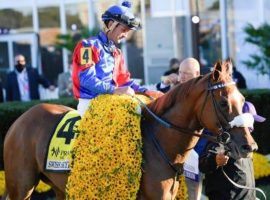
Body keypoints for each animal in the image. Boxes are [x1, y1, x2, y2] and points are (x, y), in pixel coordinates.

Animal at [3, 61, 258, 199]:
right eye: (223, 102)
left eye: (242, 99)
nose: (249, 145)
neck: (159, 143)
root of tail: (19, 121)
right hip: (21, 186)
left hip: (60, 186)